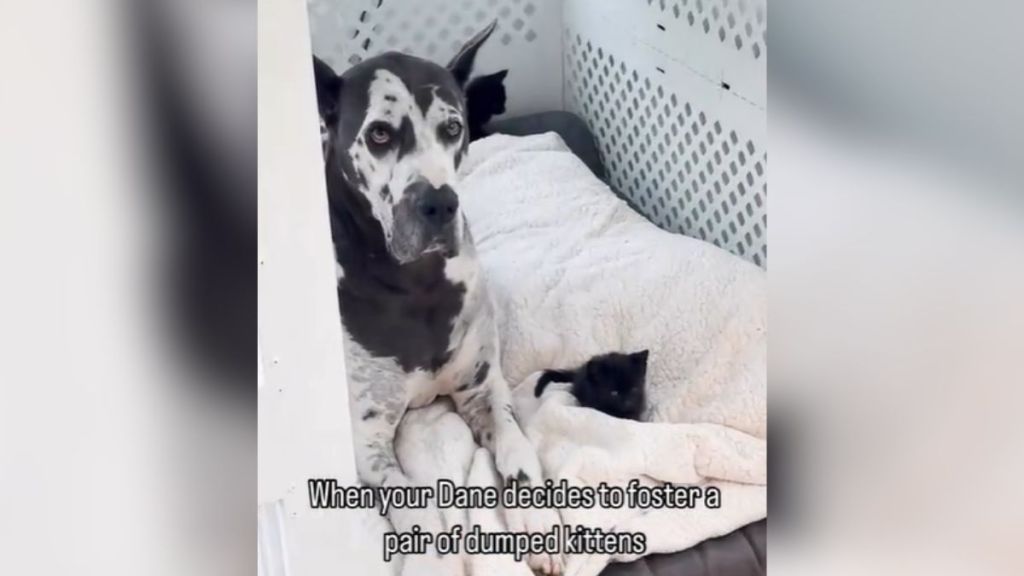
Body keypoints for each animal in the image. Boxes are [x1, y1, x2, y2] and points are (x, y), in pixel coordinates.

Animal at [313, 20, 565, 569]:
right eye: (379, 134)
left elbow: (516, 446)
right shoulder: (369, 443)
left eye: (453, 128)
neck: (417, 283)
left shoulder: (483, 390)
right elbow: (414, 502)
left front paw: (537, 517)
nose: (439, 203)